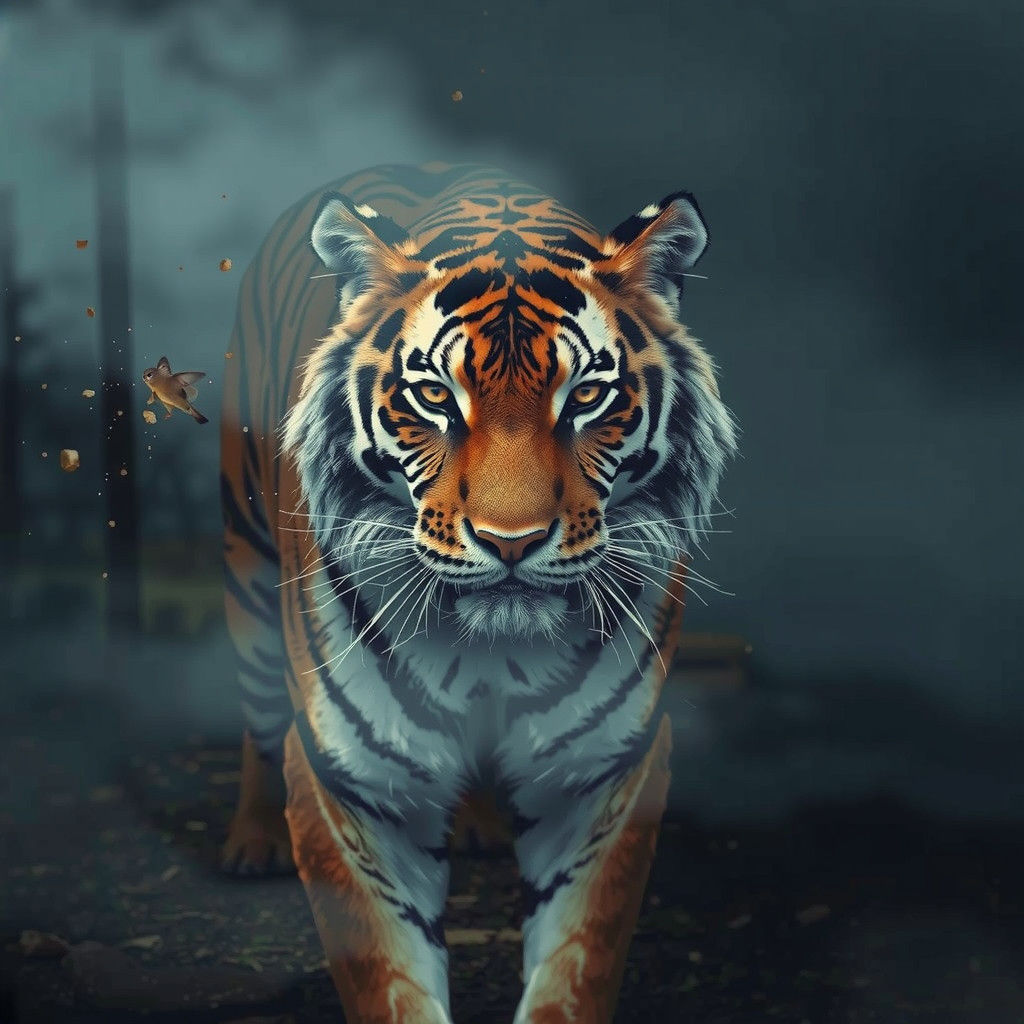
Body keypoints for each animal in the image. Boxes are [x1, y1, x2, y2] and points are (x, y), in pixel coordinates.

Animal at [219, 162, 737, 1024]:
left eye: (586, 397)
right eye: (434, 397)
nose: (512, 541)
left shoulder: (606, 773)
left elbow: (577, 962)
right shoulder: (356, 787)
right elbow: (387, 975)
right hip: (249, 568)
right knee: (258, 714)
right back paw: (251, 843)